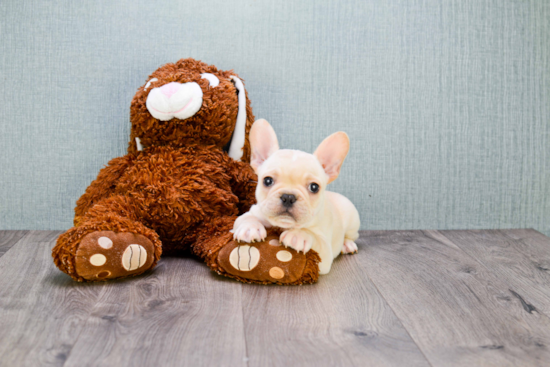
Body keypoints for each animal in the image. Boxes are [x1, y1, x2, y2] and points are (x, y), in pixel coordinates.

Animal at [233, 119, 362, 274]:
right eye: (267, 180)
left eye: (314, 187)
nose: (288, 197)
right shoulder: (253, 212)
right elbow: (246, 218)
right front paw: (250, 228)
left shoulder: (324, 253)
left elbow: (314, 237)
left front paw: (298, 235)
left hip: (353, 222)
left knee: (350, 236)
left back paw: (347, 244)